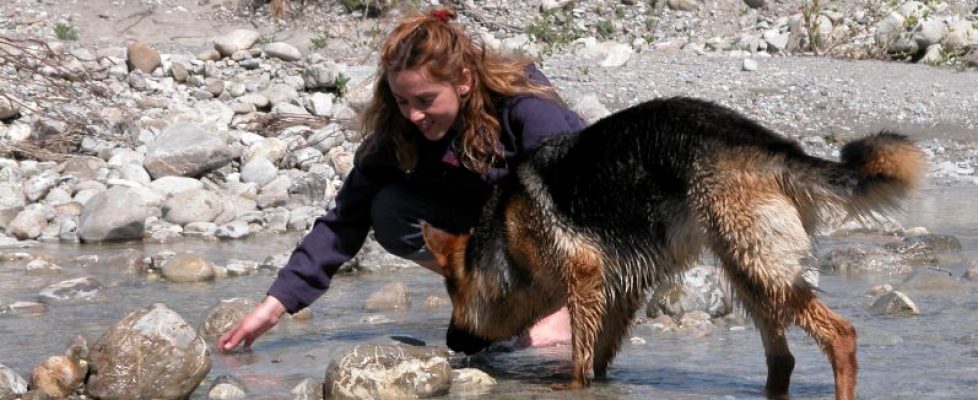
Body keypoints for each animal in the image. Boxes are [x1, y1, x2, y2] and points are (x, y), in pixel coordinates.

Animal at [422, 96, 924, 396]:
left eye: (452, 290)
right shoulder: (620, 290)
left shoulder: (583, 281)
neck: (504, 237)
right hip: (746, 271)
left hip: (759, 266)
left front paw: (571, 388)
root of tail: (773, 148)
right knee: (782, 359)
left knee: (840, 334)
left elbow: (581, 361)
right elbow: (600, 356)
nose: (450, 341)